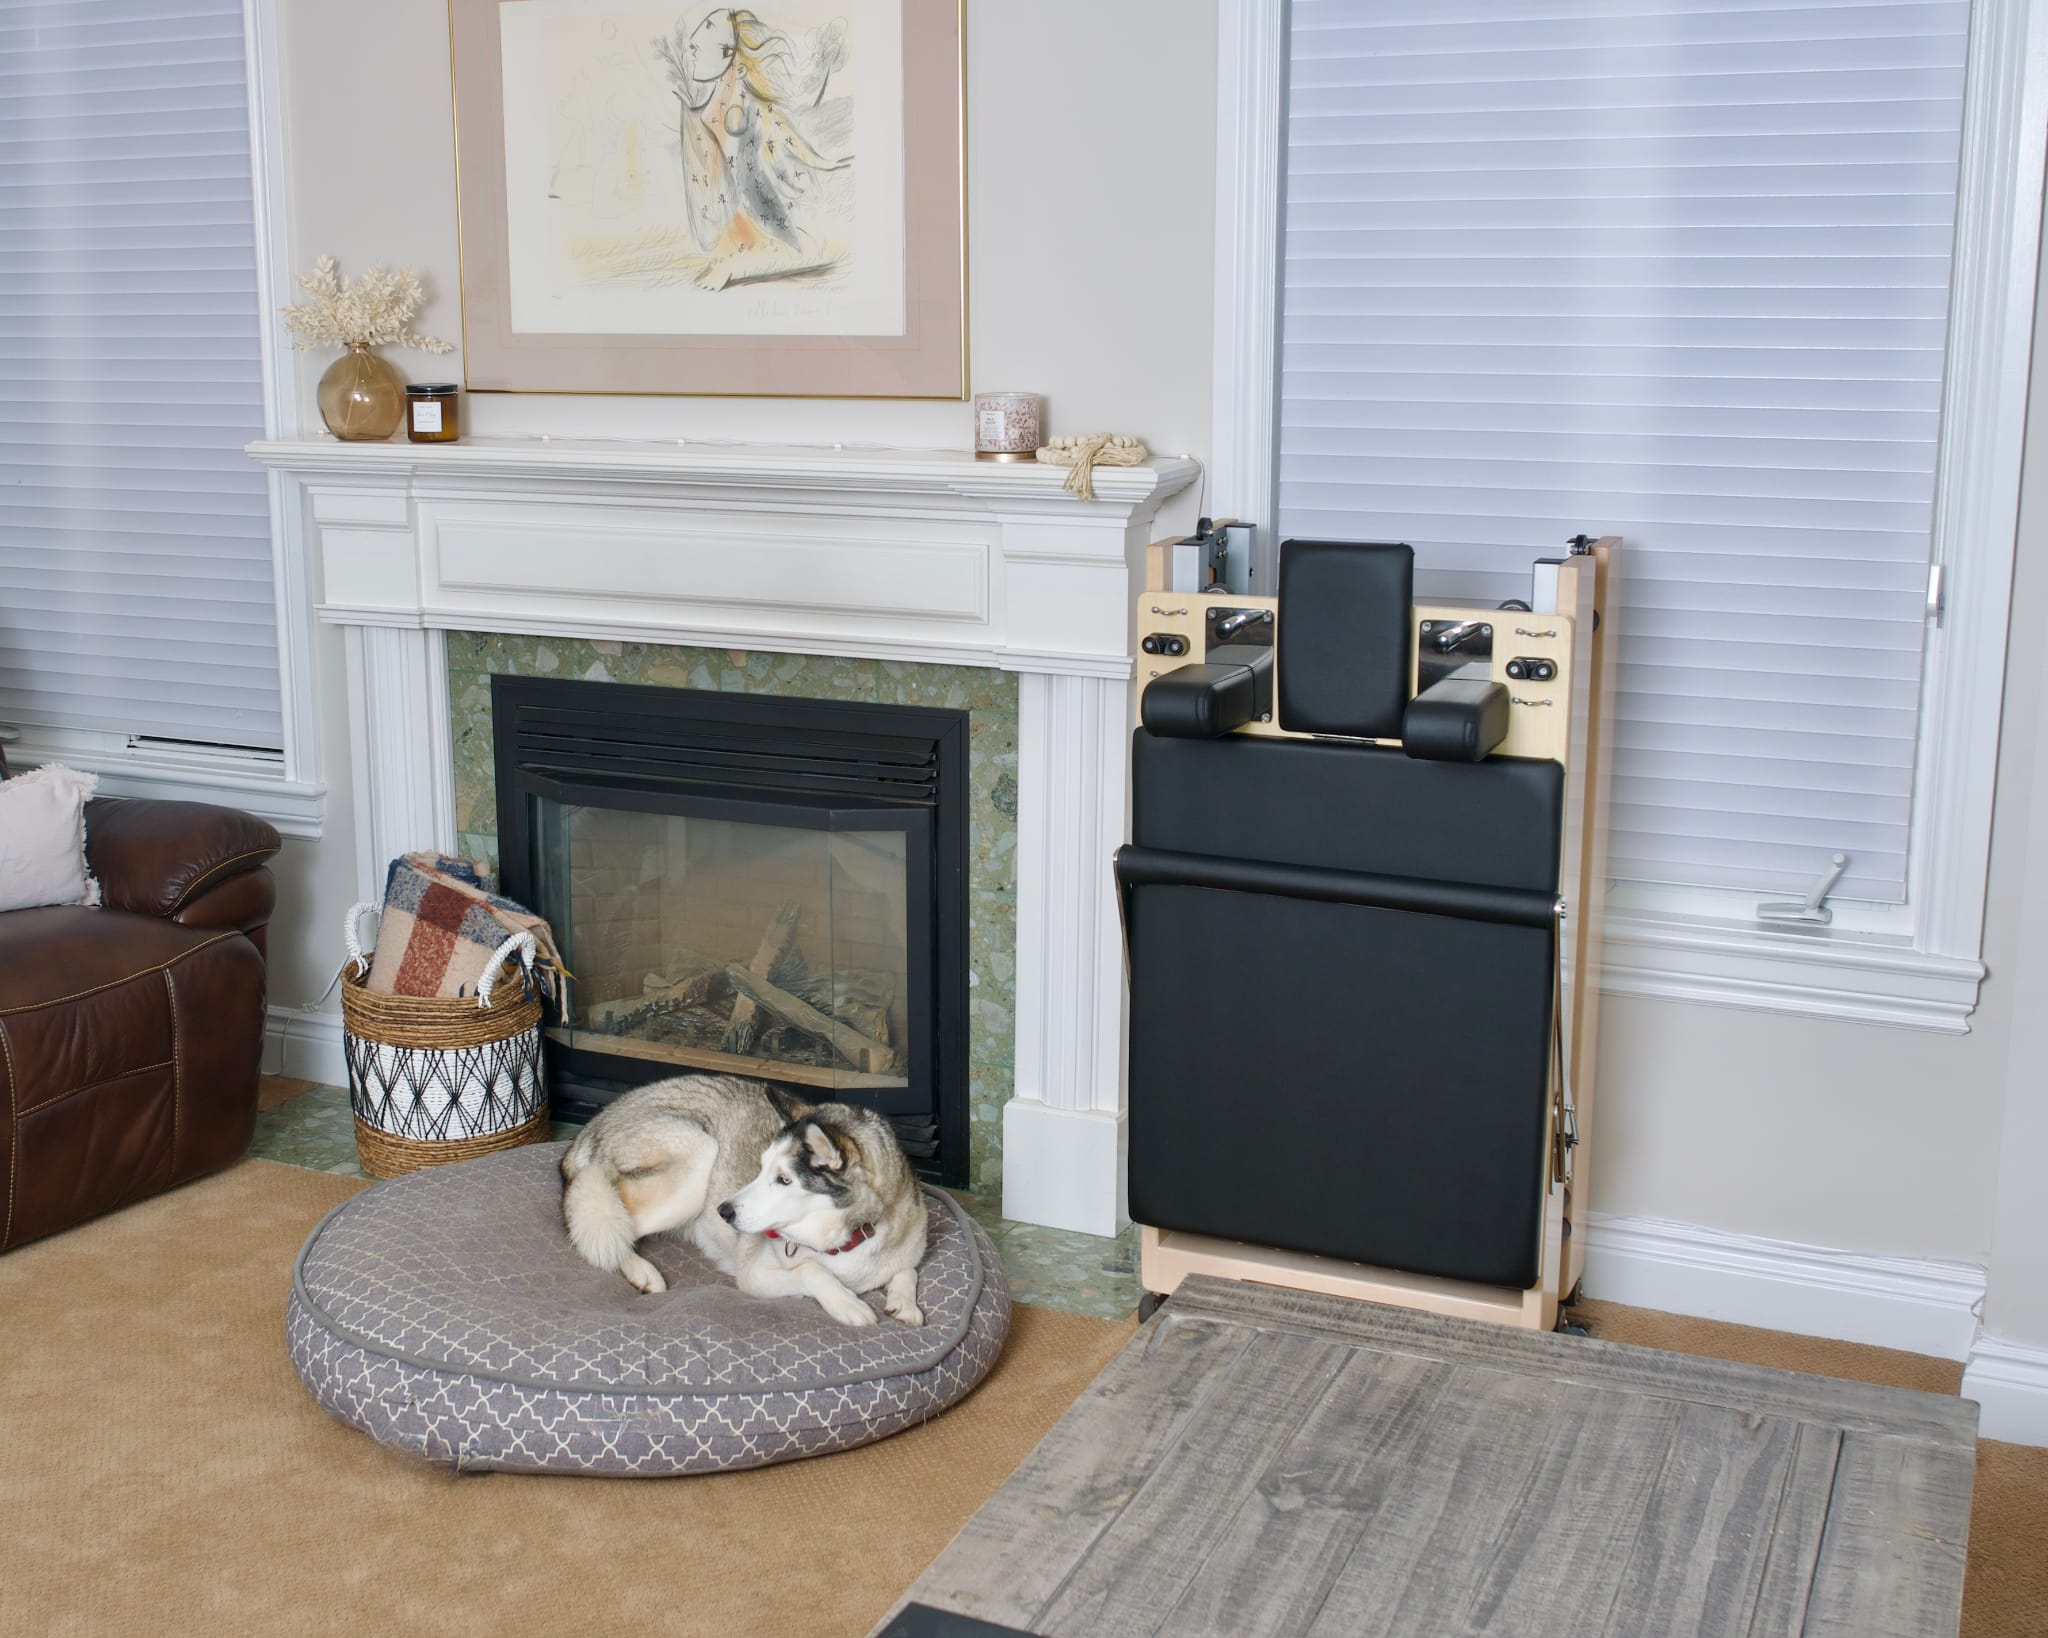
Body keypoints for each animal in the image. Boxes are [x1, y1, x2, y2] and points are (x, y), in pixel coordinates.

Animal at [552, 1072, 921, 1326]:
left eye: (784, 1180)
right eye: (761, 1166)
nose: (723, 1211)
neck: (846, 1242)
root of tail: (589, 1127)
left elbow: (908, 1270)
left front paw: (906, 1304)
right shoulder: (754, 1275)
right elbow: (812, 1271)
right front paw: (847, 1303)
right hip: (698, 1154)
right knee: (606, 1227)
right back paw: (642, 1271)